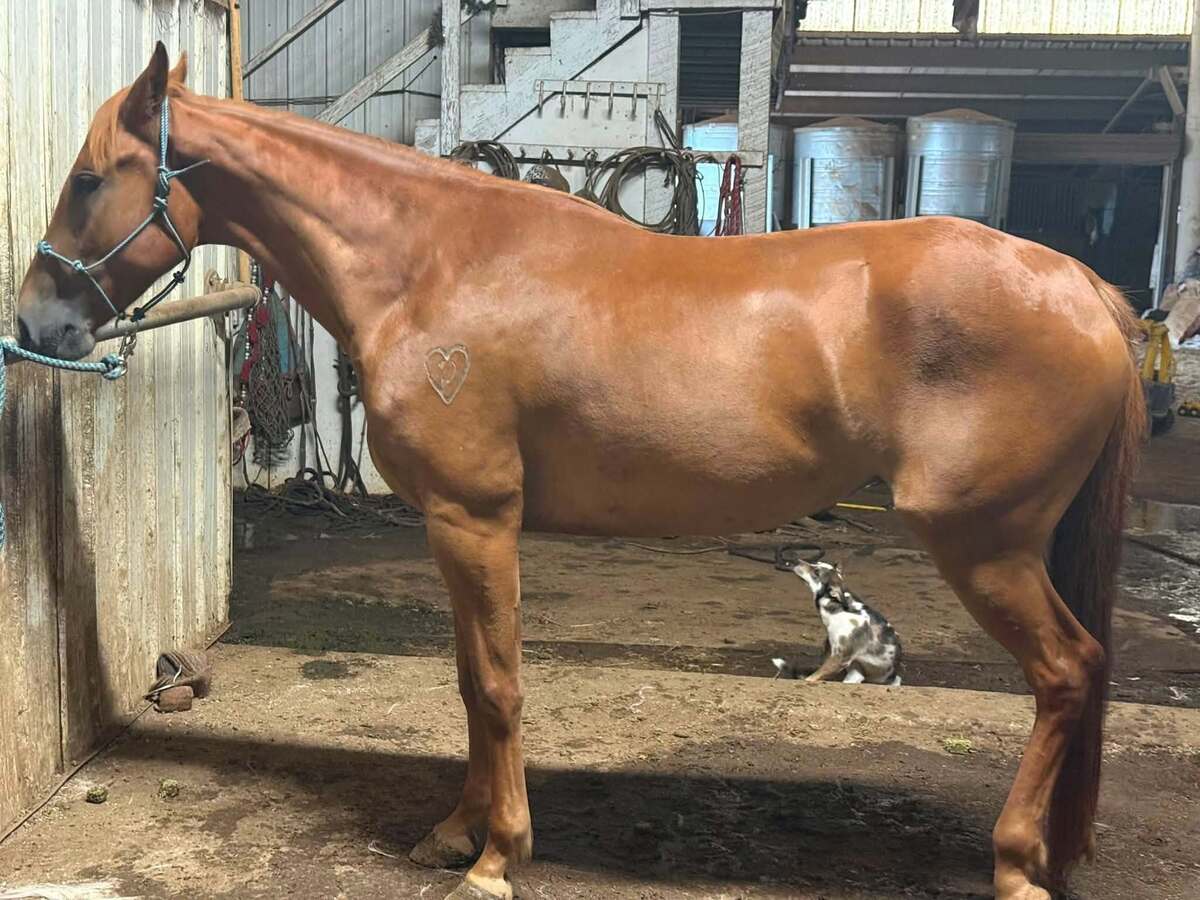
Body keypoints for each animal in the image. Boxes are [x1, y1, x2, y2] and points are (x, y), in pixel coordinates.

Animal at [16, 45, 1144, 900]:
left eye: (88, 180)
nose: (34, 324)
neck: (431, 266)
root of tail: (1081, 286)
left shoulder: (476, 520)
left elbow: (500, 684)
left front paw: (497, 859)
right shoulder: (455, 528)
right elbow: (471, 683)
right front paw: (454, 833)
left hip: (985, 546)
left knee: (1067, 671)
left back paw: (1016, 864)